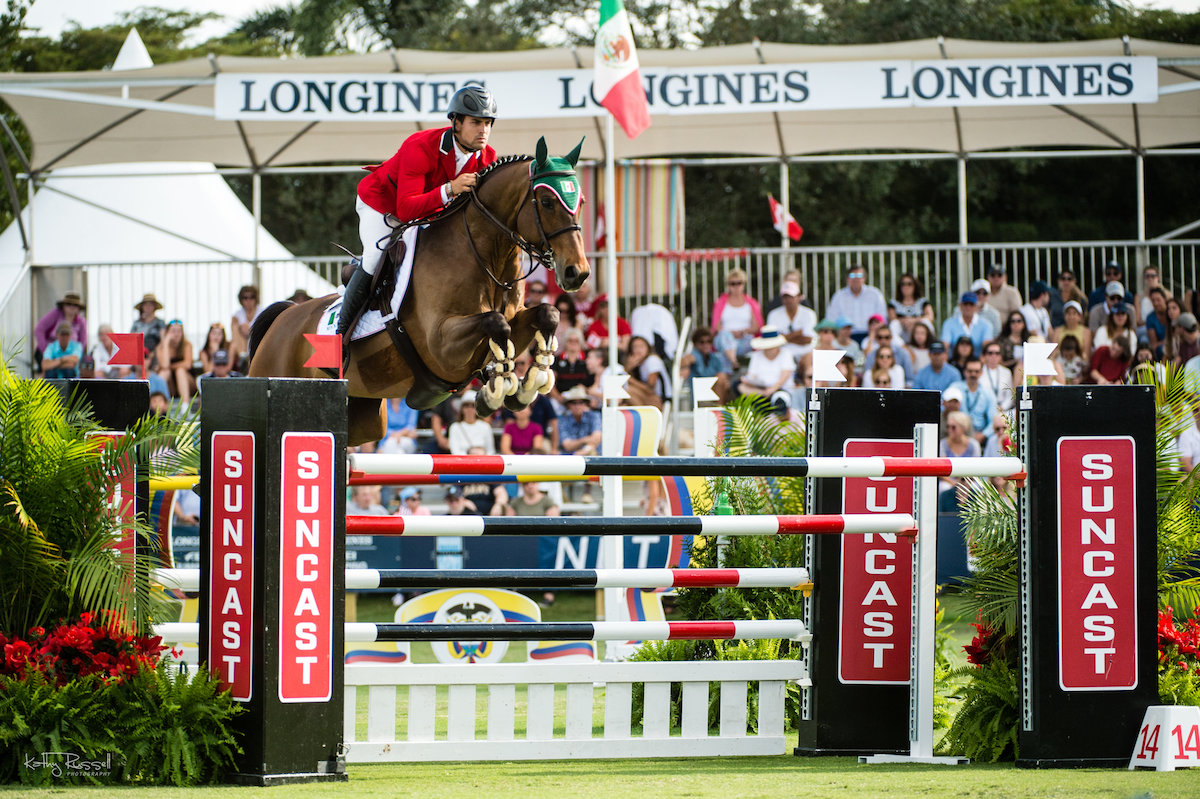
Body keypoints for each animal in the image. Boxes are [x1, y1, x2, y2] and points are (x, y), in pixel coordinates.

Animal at [247, 135, 590, 441]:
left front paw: (528, 384)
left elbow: (546, 314)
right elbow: (496, 323)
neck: (486, 257)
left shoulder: (514, 320)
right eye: (547, 201)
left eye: (581, 202)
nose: (577, 273)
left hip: (364, 418)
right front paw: (495, 390)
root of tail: (283, 318)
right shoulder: (441, 345)